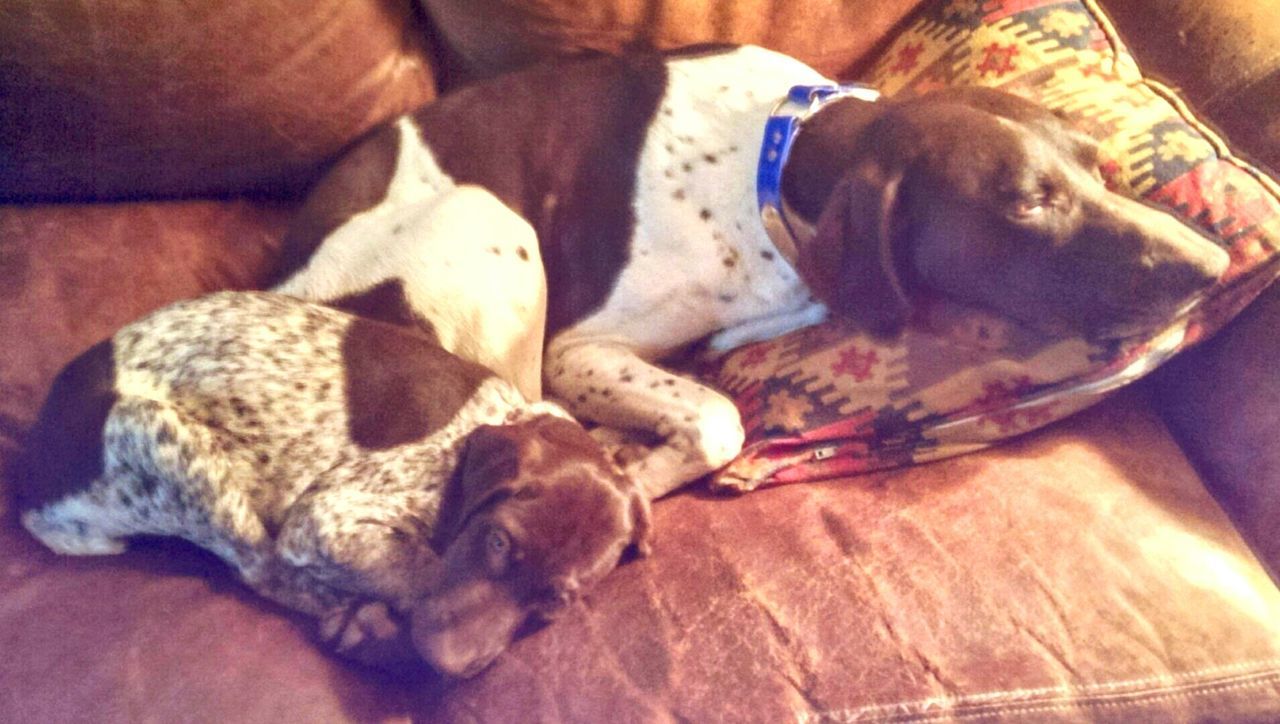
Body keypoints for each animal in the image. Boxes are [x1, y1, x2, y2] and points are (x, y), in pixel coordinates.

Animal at [272, 44, 1228, 498]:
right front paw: (636, 474)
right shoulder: (579, 350)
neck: (782, 153)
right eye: (1029, 203)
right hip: (489, 218)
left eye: (1098, 165)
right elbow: (717, 420)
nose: (1214, 265)